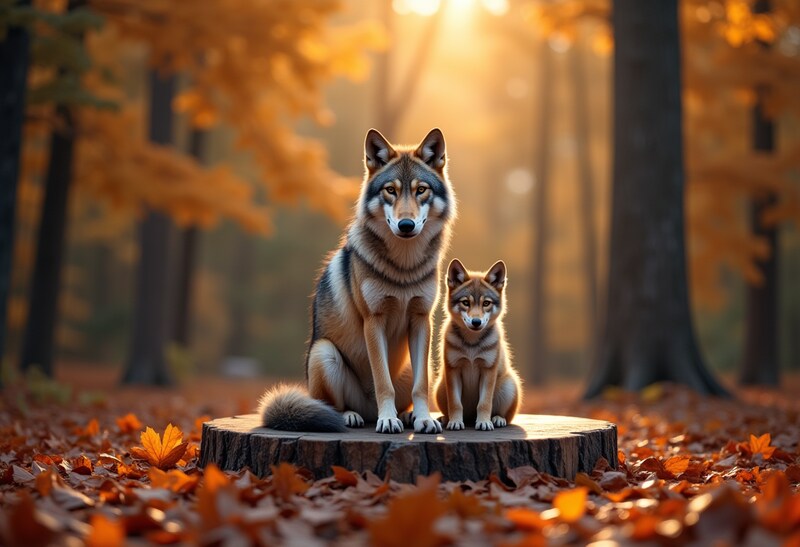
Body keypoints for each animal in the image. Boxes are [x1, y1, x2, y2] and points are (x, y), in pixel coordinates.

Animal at [259, 128, 456, 434]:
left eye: (421, 190)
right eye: (391, 190)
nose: (406, 225)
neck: (403, 268)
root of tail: (368, 410)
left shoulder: (422, 320)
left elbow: (421, 386)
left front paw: (424, 419)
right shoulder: (373, 320)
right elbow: (382, 381)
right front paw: (389, 420)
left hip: (416, 365)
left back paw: (407, 416)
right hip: (324, 352)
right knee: (334, 406)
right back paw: (356, 416)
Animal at [434, 259, 521, 431]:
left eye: (486, 303)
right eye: (465, 302)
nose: (476, 322)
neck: (471, 346)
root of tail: (470, 417)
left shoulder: (488, 370)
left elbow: (484, 403)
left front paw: (484, 422)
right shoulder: (453, 370)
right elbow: (455, 403)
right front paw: (455, 422)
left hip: (509, 385)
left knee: (506, 416)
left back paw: (497, 419)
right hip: (440, 387)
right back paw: (446, 419)